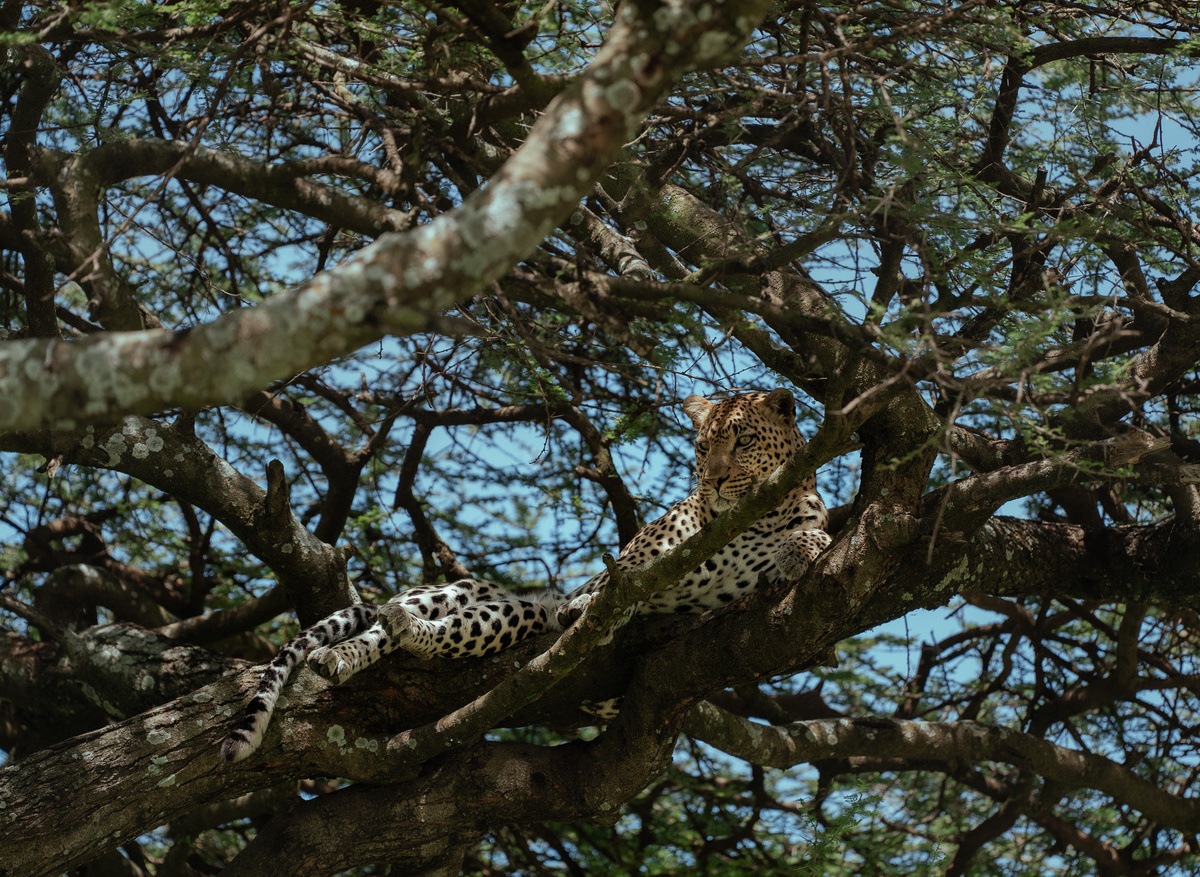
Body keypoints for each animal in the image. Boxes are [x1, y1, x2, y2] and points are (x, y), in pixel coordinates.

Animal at [220, 389, 830, 762]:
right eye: (703, 447)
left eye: (743, 441)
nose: (715, 480)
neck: (748, 516)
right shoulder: (633, 566)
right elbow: (620, 584)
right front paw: (591, 608)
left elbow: (814, 537)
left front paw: (795, 552)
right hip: (459, 591)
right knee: (391, 624)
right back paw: (354, 647)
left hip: (504, 617)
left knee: (429, 636)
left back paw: (373, 644)